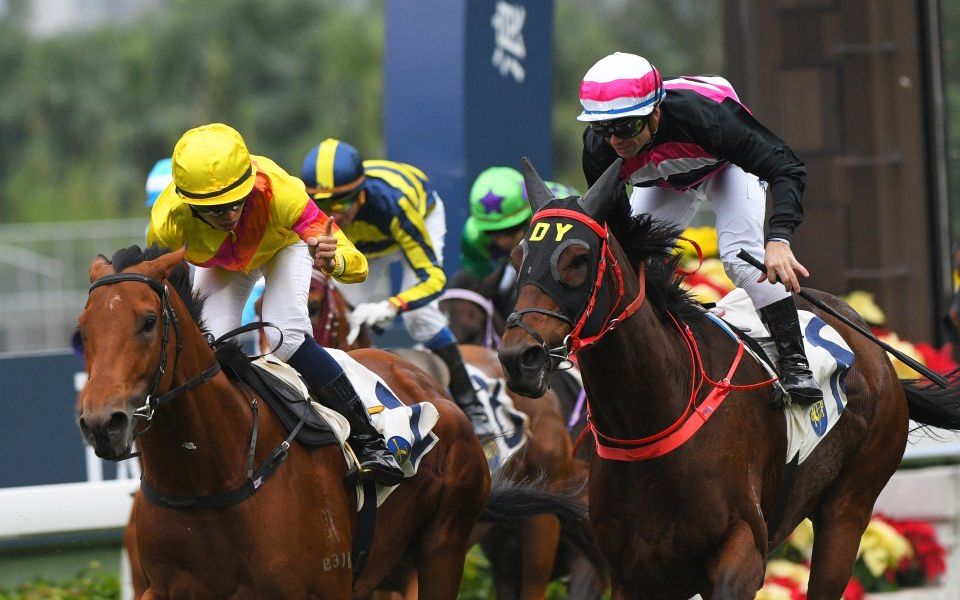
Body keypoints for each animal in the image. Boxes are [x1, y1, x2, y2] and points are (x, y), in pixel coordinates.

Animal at [497, 159, 960, 600]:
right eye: (518, 259)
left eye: (577, 258)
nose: (519, 357)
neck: (651, 419)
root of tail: (871, 344)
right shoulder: (633, 576)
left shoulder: (742, 551)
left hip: (850, 506)